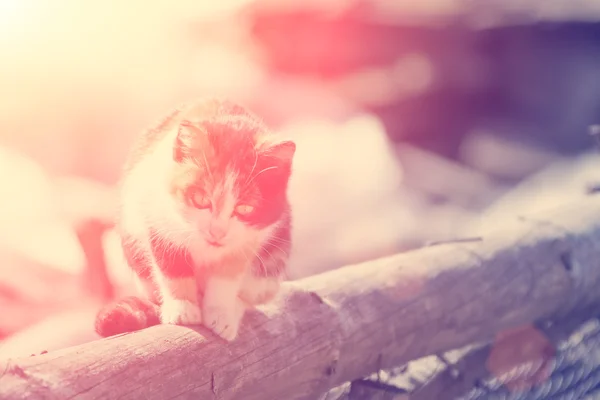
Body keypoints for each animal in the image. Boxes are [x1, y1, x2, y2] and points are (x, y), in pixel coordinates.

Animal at [93, 97, 296, 340]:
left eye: (245, 208)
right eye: (200, 198)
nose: (217, 231)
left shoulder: (249, 239)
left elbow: (226, 277)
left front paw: (221, 313)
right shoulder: (157, 215)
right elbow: (172, 266)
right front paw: (183, 308)